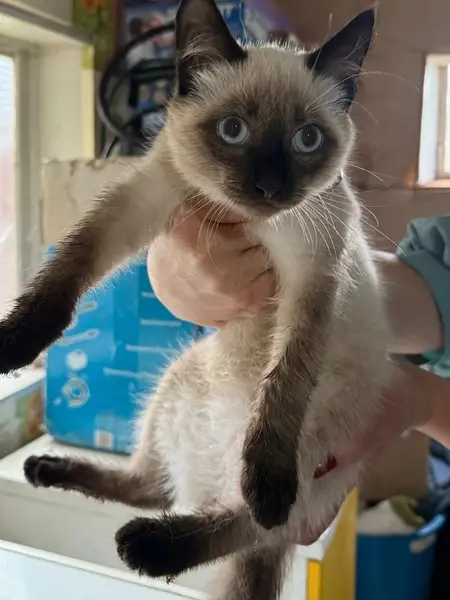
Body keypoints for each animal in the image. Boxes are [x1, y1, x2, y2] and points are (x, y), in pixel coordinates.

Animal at [0, 1, 392, 597]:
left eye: (307, 140)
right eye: (233, 131)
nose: (270, 188)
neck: (249, 222)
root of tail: (203, 480)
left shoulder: (312, 278)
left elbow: (284, 380)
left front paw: (266, 484)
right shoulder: (142, 201)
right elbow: (69, 264)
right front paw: (16, 345)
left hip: (318, 458)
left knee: (258, 524)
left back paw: (150, 545)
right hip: (171, 387)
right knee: (149, 488)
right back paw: (49, 472)